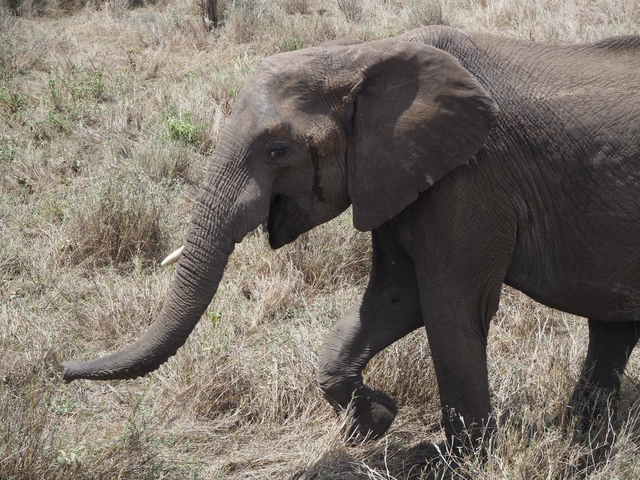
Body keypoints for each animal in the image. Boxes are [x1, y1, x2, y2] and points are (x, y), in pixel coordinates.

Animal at [62, 26, 640, 452]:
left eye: (277, 151)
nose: (63, 371)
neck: (358, 55)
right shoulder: (396, 176)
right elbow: (394, 299)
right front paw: (377, 419)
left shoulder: (472, 179)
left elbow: (451, 308)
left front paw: (463, 460)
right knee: (612, 326)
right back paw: (585, 439)